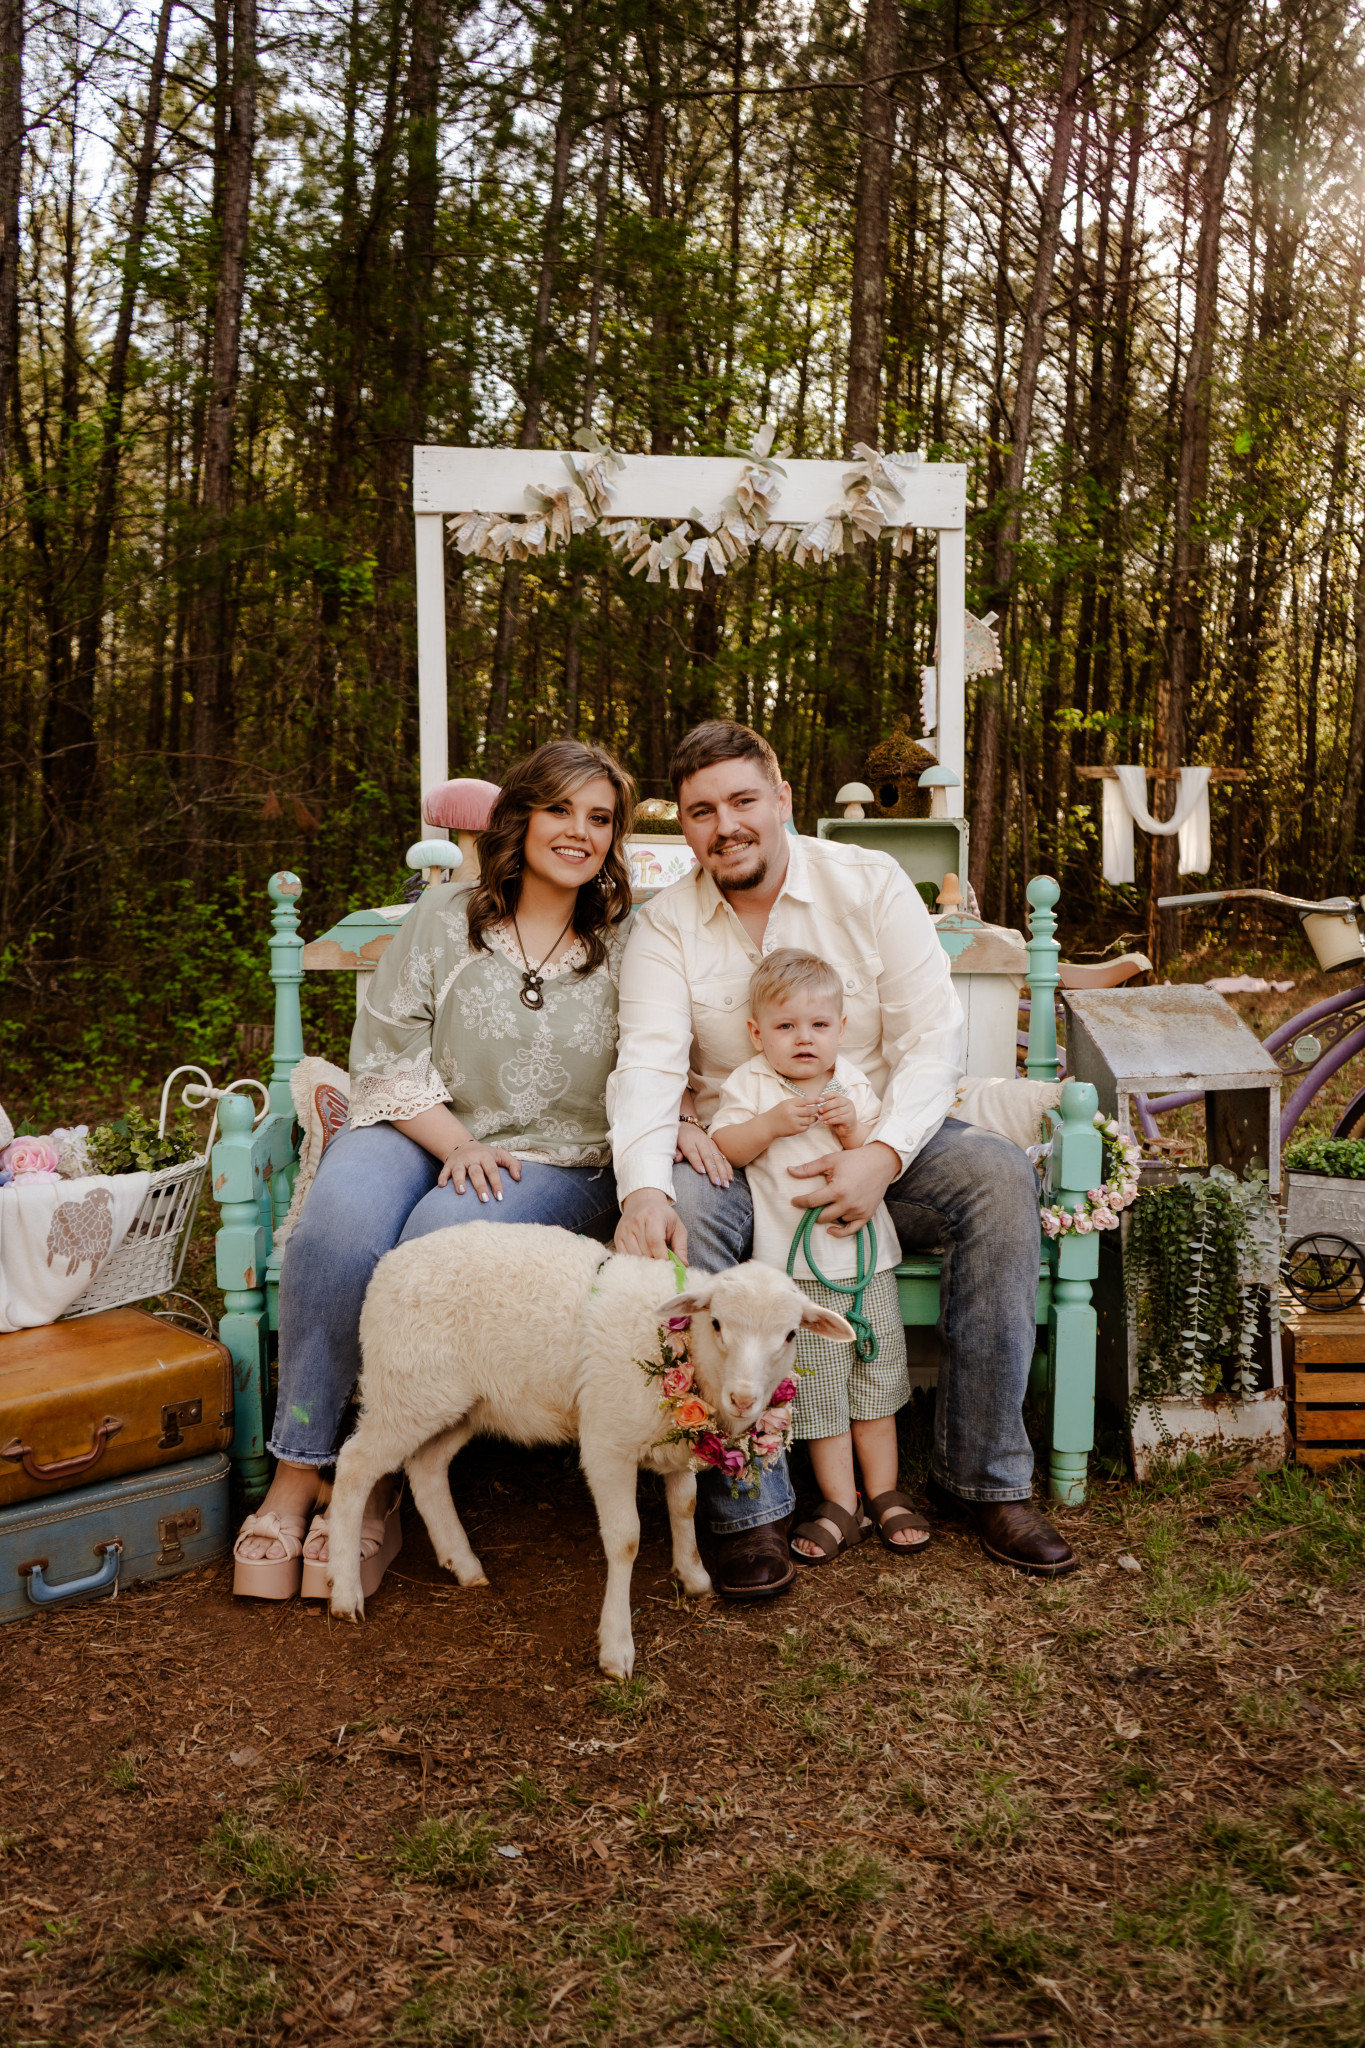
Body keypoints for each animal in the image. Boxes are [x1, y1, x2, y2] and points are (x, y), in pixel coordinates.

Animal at [326, 1221, 854, 1677]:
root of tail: (388, 1264)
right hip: (407, 1389)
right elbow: (626, 1540)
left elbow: (684, 1506)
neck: (683, 1347)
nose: (743, 1398)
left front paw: (694, 1577)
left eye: (790, 1334)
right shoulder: (607, 1444)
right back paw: (345, 1593)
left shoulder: (679, 1442)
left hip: (463, 1403)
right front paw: (616, 1647)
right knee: (354, 1466)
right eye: (719, 1323)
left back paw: (464, 1564)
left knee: (427, 1467)